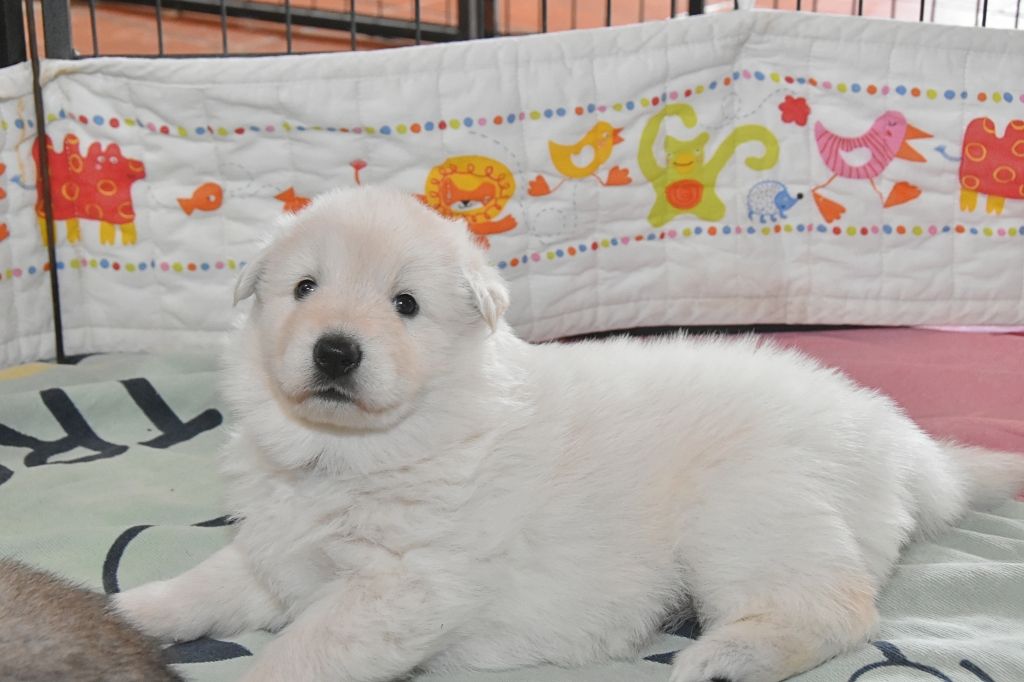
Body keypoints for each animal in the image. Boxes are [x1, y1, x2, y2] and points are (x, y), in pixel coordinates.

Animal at [114, 186, 1024, 682]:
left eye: (405, 305)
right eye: (304, 287)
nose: (336, 349)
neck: (349, 454)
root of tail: (909, 448)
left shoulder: (399, 591)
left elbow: (297, 652)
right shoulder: (280, 549)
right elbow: (217, 580)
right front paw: (133, 608)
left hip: (752, 514)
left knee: (839, 610)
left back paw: (726, 656)